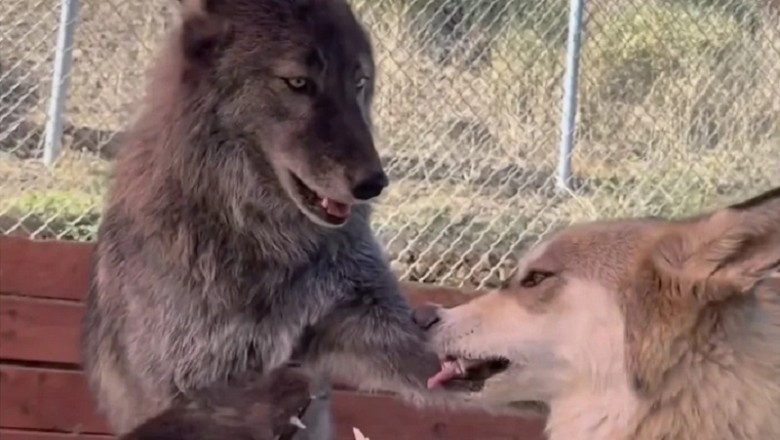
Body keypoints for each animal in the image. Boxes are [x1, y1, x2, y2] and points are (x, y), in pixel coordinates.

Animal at [80, 0, 443, 435]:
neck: (264, 241)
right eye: (298, 82)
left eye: (359, 82)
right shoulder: (186, 383)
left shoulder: (363, 313)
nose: (373, 183)